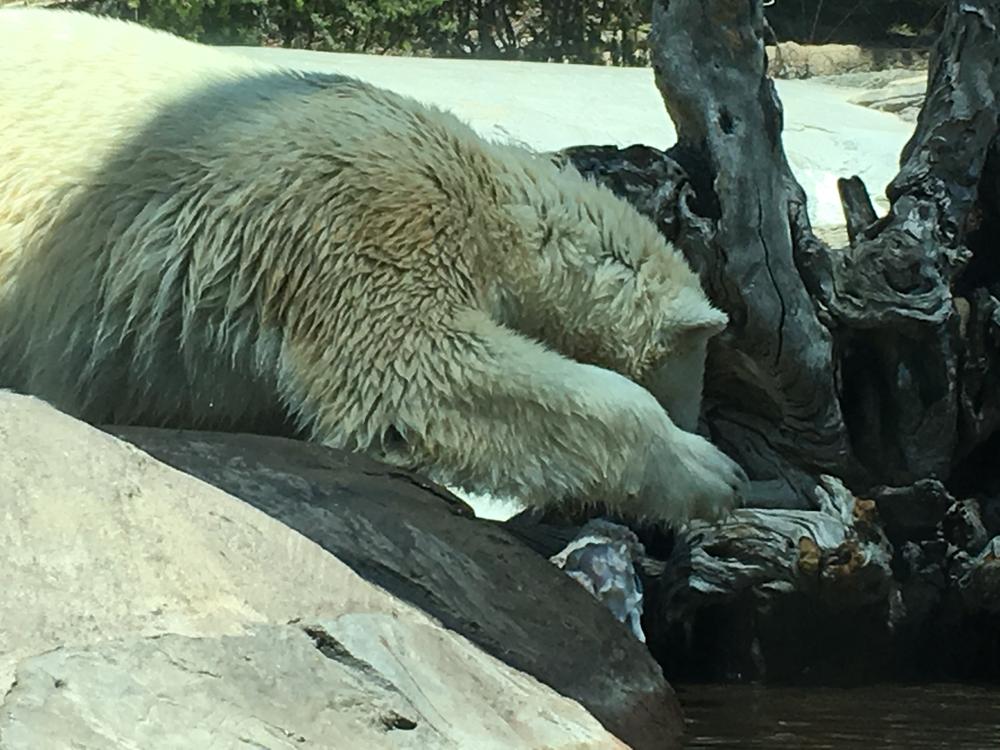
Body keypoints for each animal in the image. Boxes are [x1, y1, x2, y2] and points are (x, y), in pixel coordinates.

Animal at [0, 9, 746, 525]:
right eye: (694, 395)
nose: (704, 428)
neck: (487, 197)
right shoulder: (368, 222)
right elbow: (416, 369)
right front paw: (711, 475)